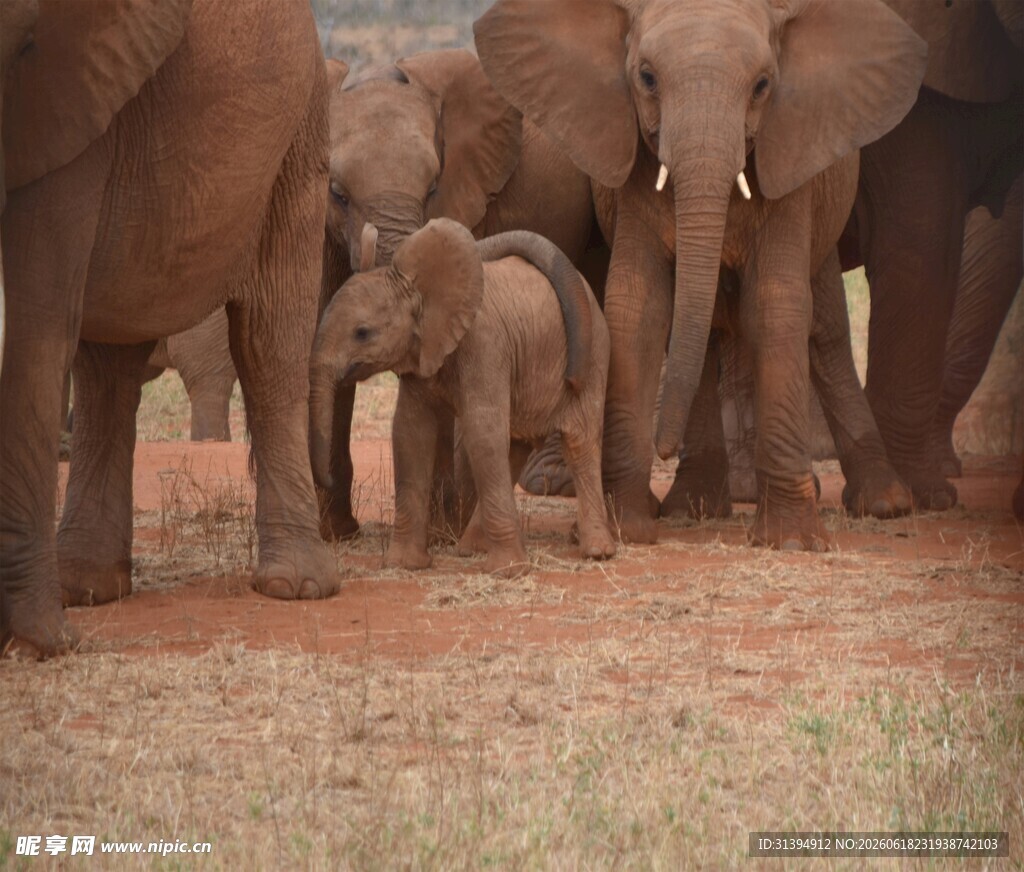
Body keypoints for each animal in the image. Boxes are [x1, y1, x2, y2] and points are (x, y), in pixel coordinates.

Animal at [1, 0, 340, 656]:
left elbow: (35, 326)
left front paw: (39, 643)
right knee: (106, 368)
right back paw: (87, 586)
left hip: (298, 134)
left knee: (268, 343)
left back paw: (297, 587)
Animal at [309, 220, 615, 577]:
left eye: (362, 333)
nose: (328, 479)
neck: (421, 289)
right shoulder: (423, 353)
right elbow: (410, 434)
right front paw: (403, 564)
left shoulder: (485, 346)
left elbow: (481, 432)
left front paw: (508, 571)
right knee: (514, 445)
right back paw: (471, 548)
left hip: (594, 354)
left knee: (579, 441)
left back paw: (598, 552)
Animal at [475, 0, 926, 548]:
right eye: (646, 78)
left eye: (762, 85)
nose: (662, 447)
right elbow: (638, 306)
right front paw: (631, 530)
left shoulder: (790, 173)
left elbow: (775, 305)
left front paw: (791, 541)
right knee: (707, 331)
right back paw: (694, 507)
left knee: (824, 331)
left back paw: (885, 504)